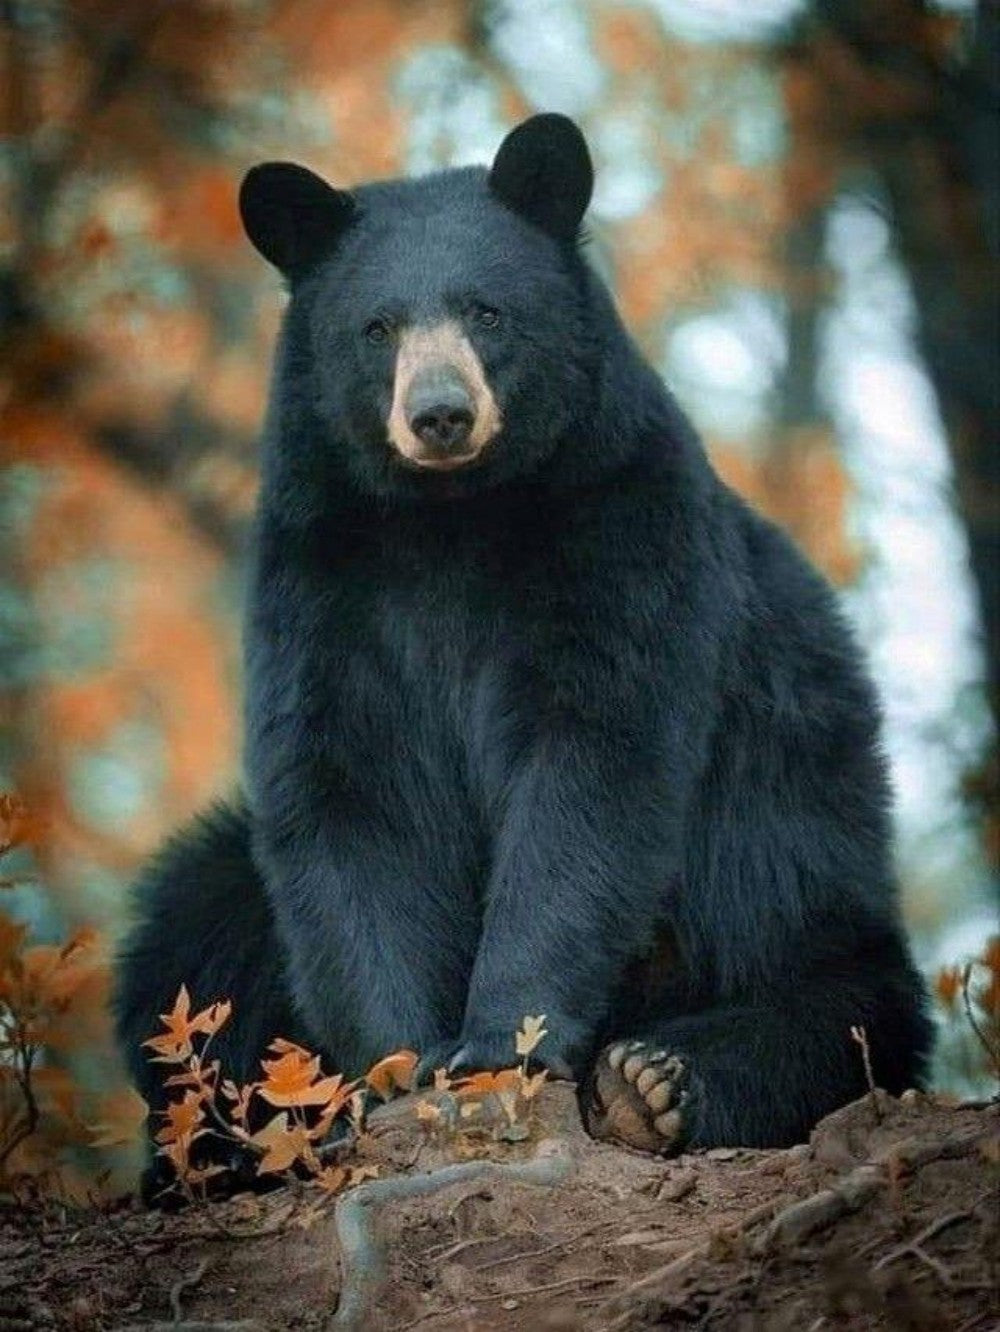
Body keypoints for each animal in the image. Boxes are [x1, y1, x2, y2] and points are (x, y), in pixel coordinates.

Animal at [115, 113, 932, 1187]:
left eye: (487, 312)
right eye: (376, 328)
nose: (440, 415)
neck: (453, 517)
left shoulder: (622, 531)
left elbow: (589, 770)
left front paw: (499, 1043)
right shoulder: (323, 579)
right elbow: (351, 792)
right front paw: (400, 1066)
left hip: (793, 854)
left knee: (839, 1002)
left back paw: (652, 1081)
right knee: (190, 929)